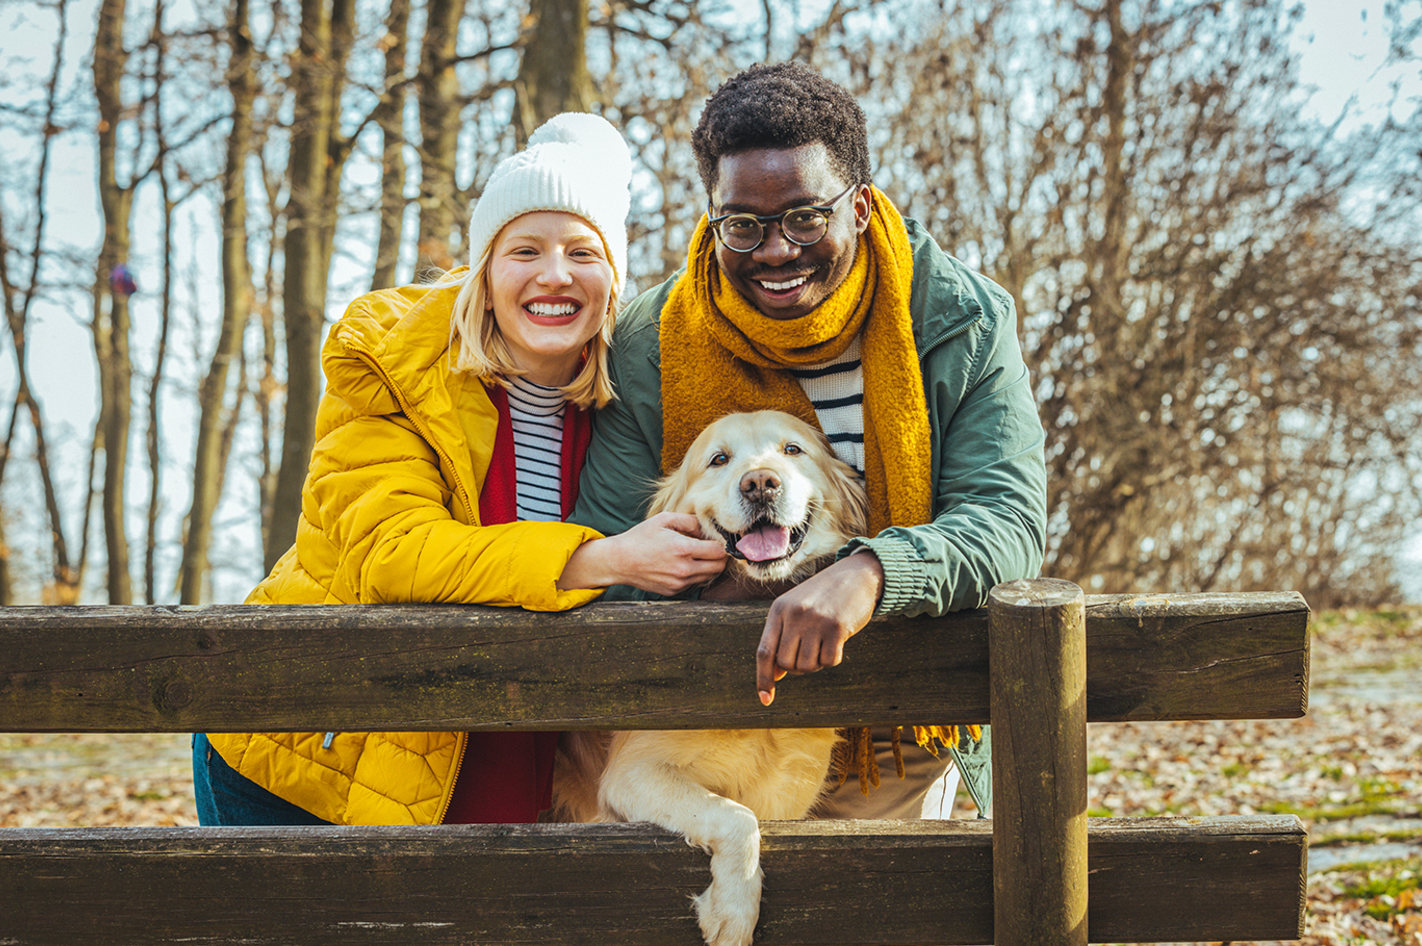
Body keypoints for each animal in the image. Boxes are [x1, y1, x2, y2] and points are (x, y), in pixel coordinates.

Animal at [551, 409, 864, 944]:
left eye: (793, 450)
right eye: (718, 459)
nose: (760, 484)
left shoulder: (786, 794)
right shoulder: (630, 774)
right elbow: (735, 815)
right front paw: (734, 910)